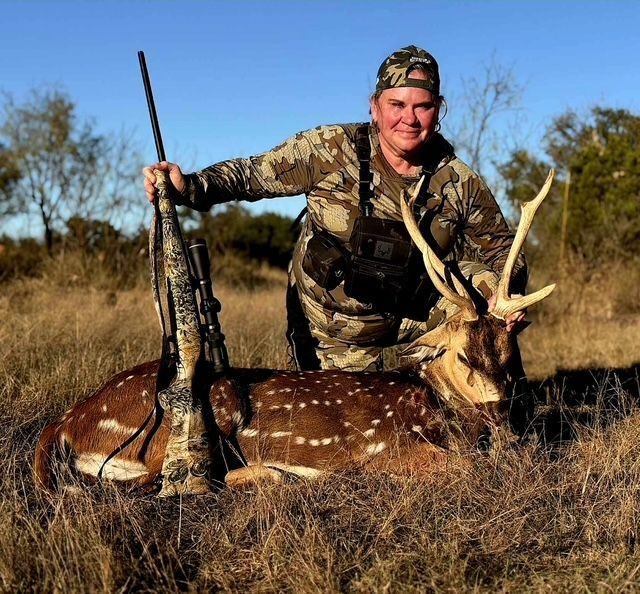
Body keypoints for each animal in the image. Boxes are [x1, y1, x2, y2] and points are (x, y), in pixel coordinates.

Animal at [34, 171, 556, 493]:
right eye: (463, 355)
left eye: (510, 355)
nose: (502, 416)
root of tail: (64, 423)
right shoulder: (386, 450)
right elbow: (464, 465)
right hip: (206, 408)